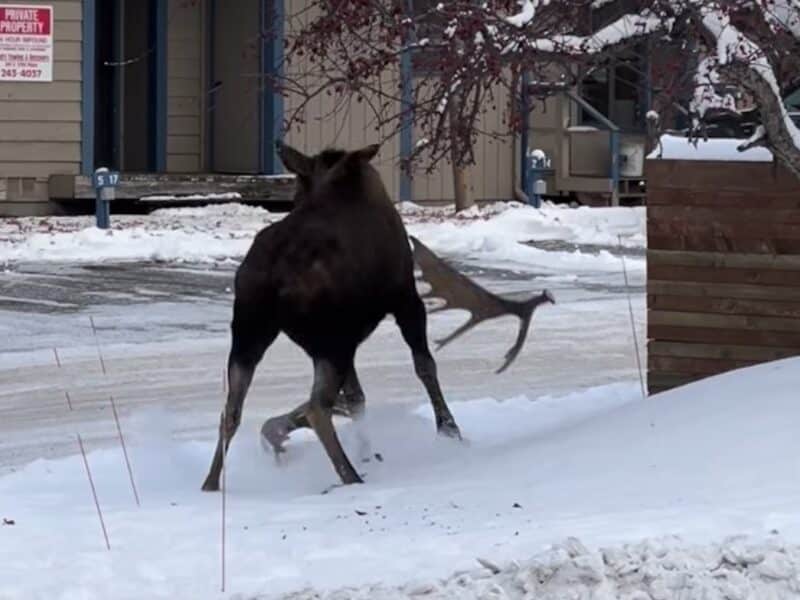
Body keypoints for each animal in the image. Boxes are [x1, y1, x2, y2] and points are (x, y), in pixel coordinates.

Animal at [201, 140, 554, 492]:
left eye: (298, 188)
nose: (295, 201)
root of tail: (274, 274)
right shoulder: (406, 299)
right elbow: (424, 366)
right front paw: (449, 430)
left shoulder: (354, 334)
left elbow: (357, 396)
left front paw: (365, 451)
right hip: (330, 339)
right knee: (316, 407)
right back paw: (349, 476)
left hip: (253, 330)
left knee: (231, 410)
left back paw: (212, 483)